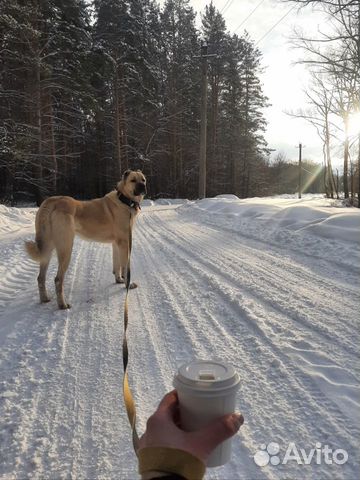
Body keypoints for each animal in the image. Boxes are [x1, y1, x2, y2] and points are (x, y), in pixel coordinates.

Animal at [24, 171, 146, 310]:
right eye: (133, 180)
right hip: (66, 249)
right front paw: (127, 285)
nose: (143, 186)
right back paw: (62, 305)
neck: (124, 200)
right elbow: (125, 267)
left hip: (47, 250)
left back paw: (44, 299)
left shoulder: (116, 244)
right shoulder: (124, 243)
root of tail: (53, 201)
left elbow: (117, 265)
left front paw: (119, 280)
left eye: (143, 180)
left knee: (40, 278)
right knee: (58, 279)